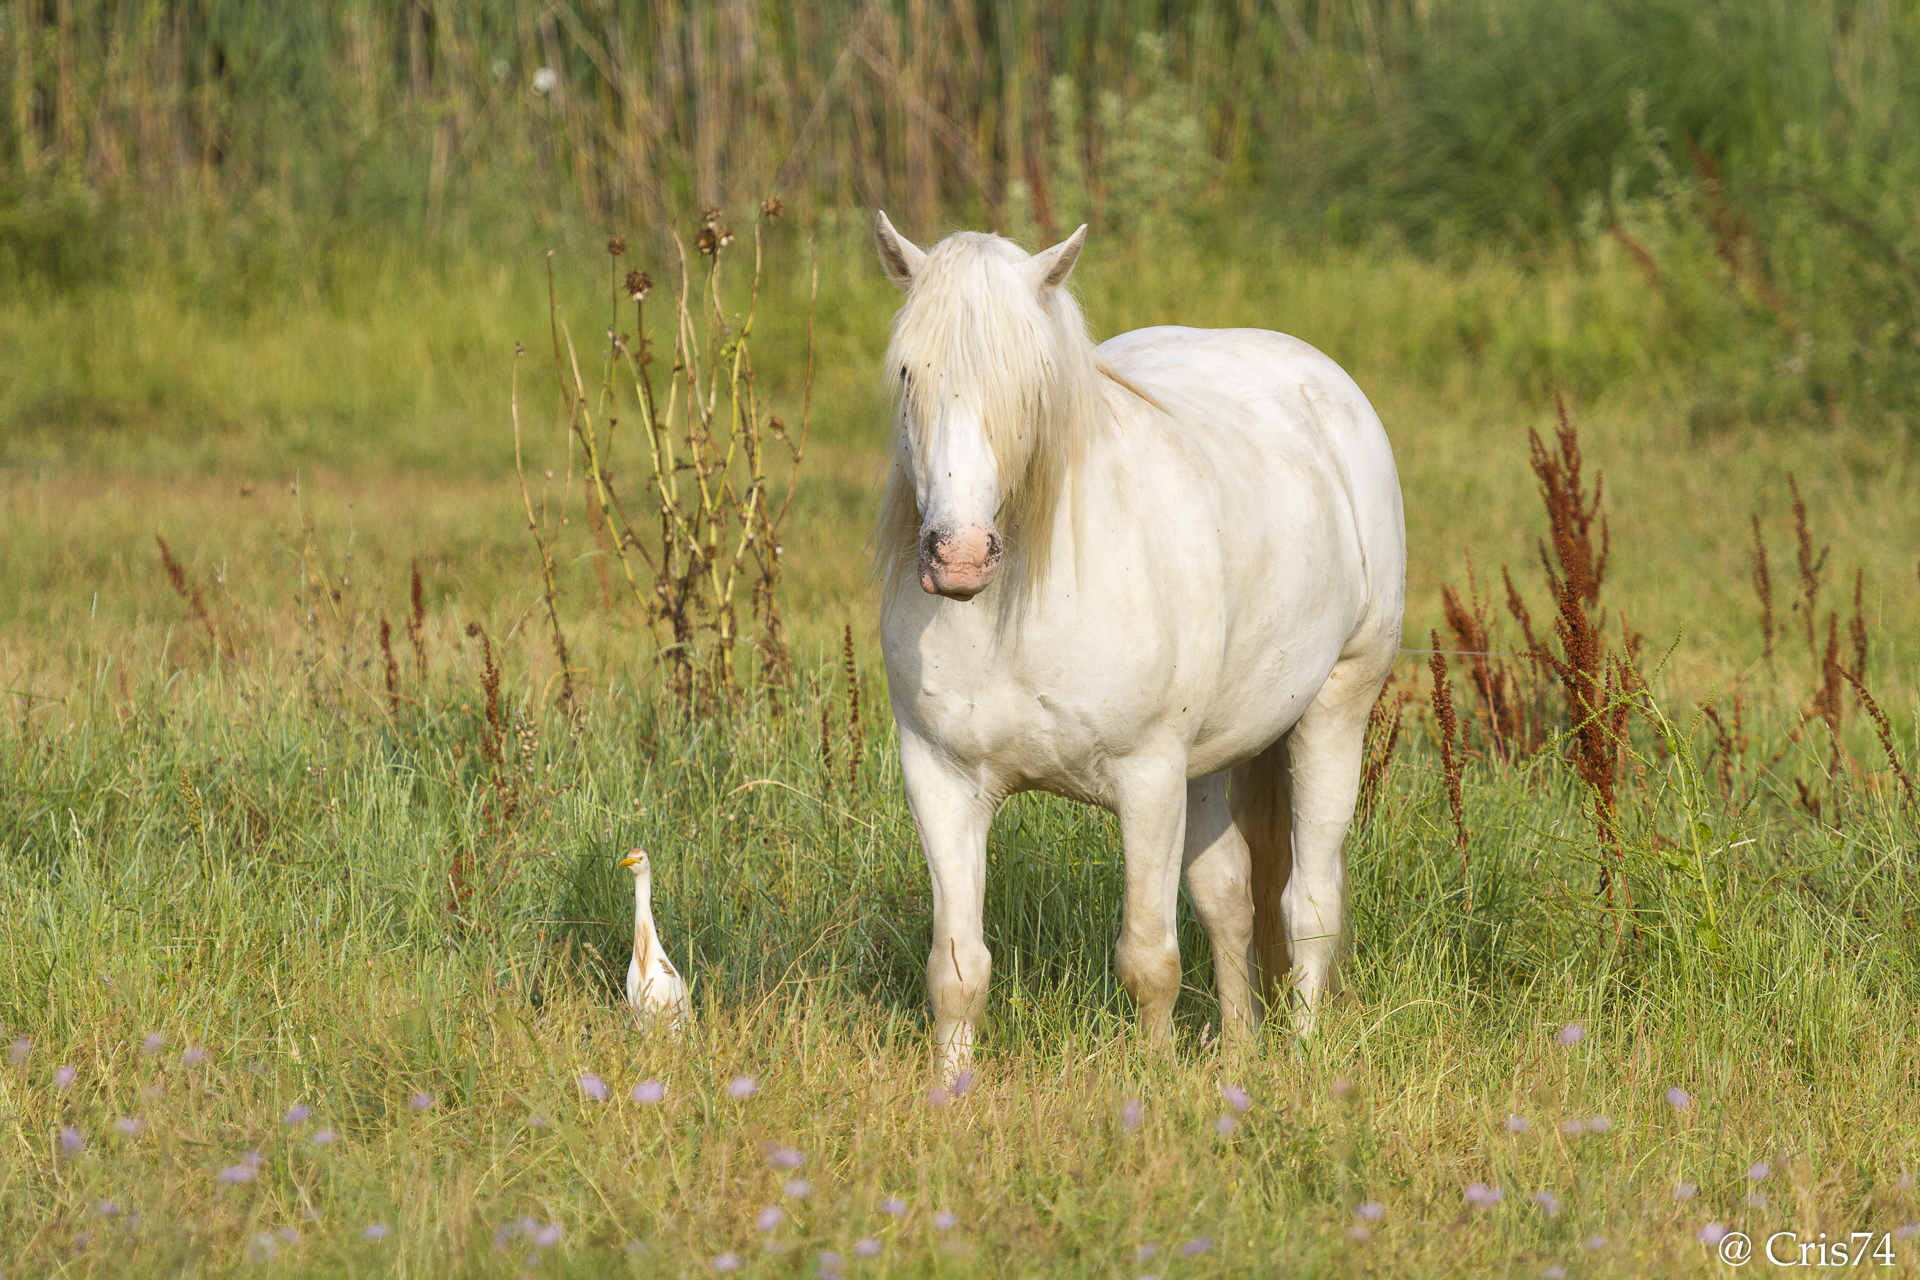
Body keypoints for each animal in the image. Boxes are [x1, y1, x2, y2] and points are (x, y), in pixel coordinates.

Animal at [872, 212, 1406, 1078]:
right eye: (908, 372)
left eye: (1033, 380)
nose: (958, 556)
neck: (1015, 609)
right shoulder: (941, 780)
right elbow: (957, 969)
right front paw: (951, 1090)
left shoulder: (1147, 778)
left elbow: (1148, 959)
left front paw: (1152, 1086)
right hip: (1211, 758)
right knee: (1229, 898)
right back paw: (1239, 1053)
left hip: (1336, 709)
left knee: (1309, 903)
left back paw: (1301, 1055)